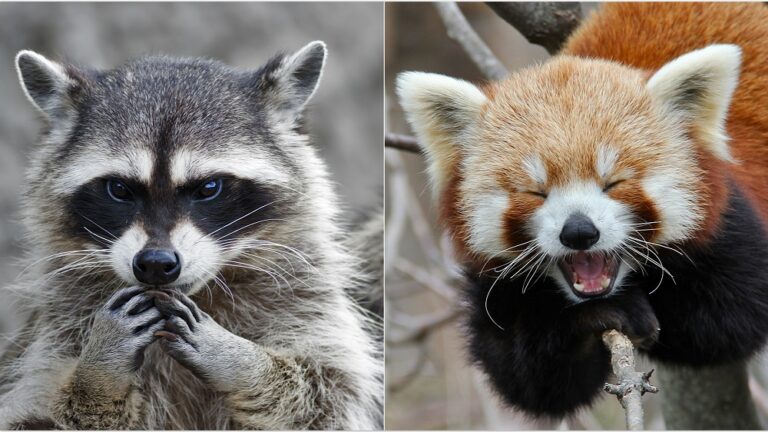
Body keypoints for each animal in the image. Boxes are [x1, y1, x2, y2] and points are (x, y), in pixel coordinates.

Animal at [0, 42, 382, 429]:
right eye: (119, 189)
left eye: (209, 188)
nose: (155, 263)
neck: (203, 292)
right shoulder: (53, 335)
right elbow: (36, 416)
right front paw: (97, 376)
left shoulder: (306, 301)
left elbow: (327, 393)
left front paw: (241, 361)